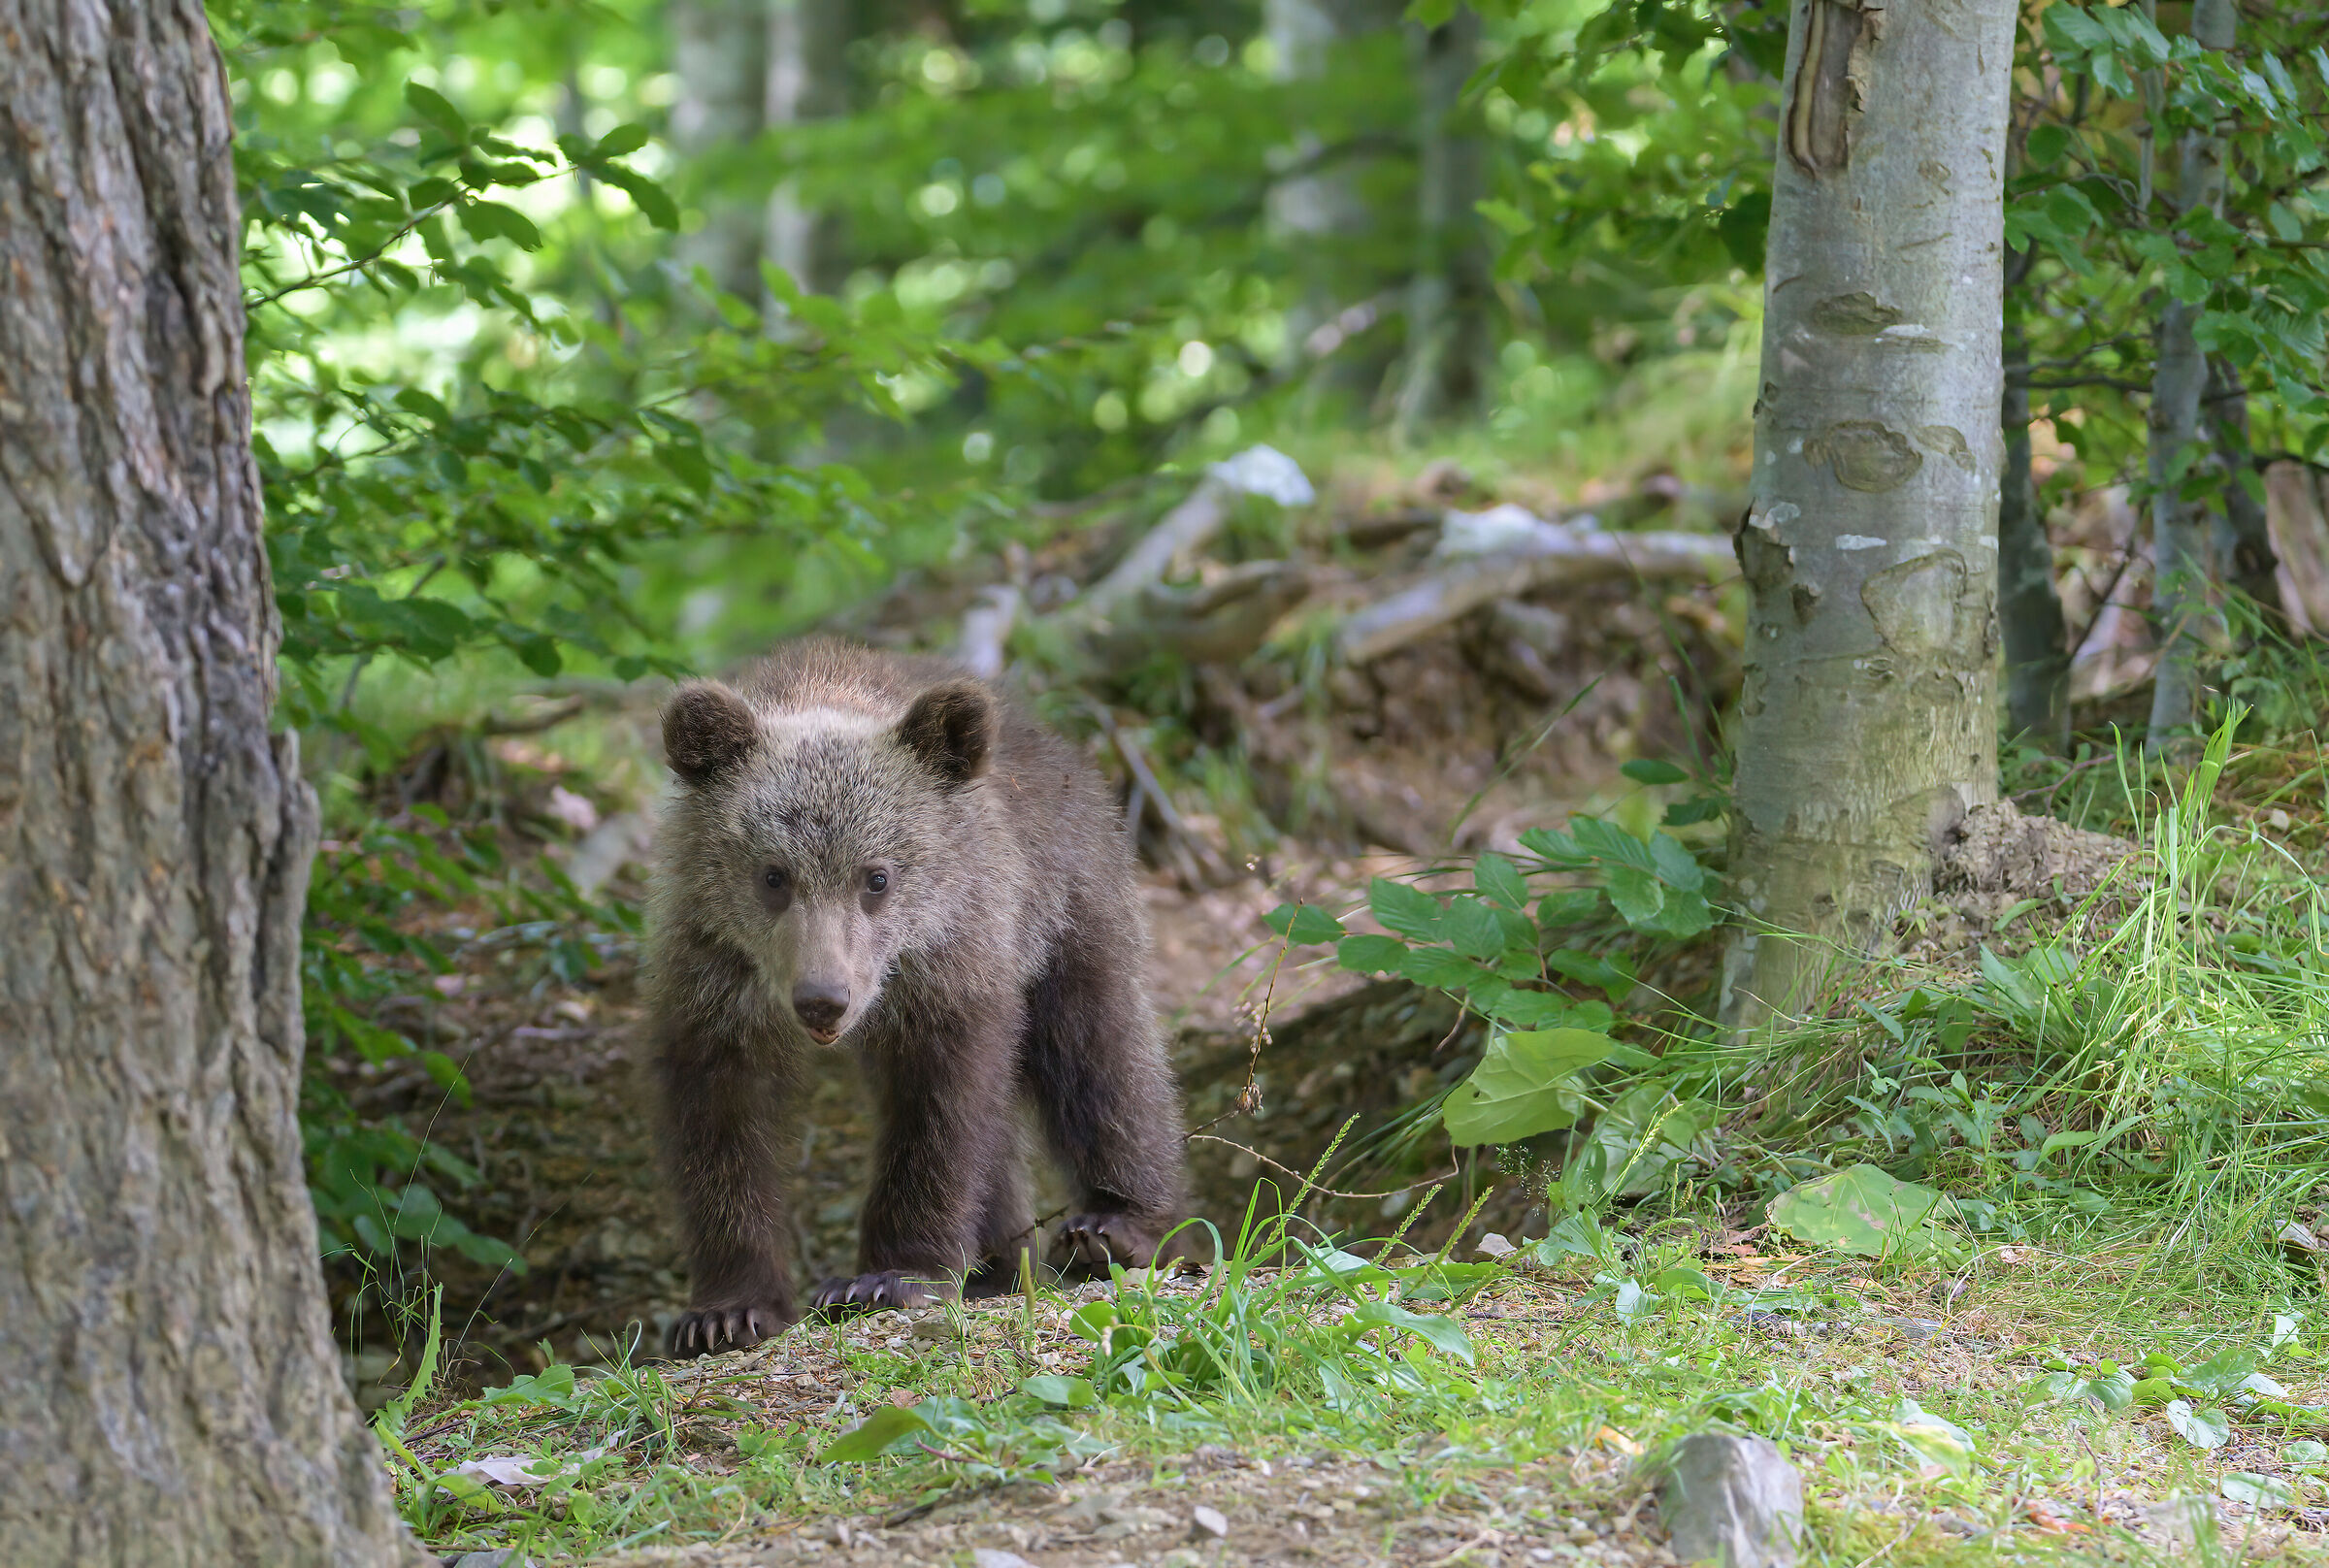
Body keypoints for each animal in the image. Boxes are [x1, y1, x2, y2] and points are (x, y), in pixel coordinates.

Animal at [647, 637, 1191, 1356]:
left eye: (876, 876)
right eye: (773, 875)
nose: (823, 999)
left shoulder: (953, 963)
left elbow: (941, 1109)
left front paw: (886, 1276)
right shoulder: (713, 977)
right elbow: (720, 1120)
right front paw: (726, 1310)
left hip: (1068, 904)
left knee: (1100, 1052)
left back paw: (1115, 1228)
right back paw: (998, 1265)